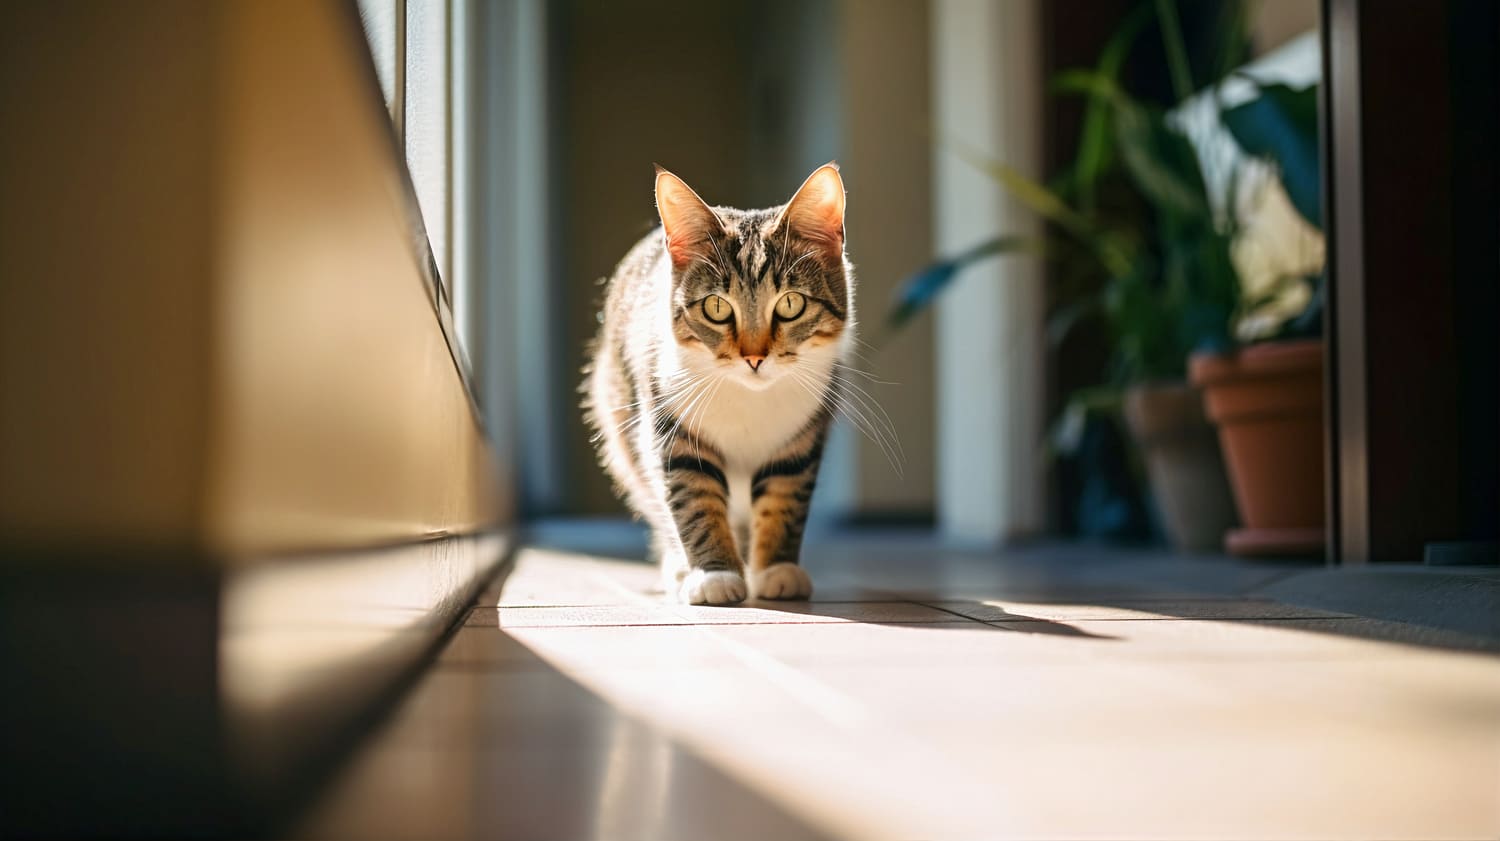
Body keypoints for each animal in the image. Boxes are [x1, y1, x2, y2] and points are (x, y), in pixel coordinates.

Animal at [582, 160, 852, 602]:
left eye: (791, 304)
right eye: (716, 307)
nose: (754, 358)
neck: (749, 398)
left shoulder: (802, 435)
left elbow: (785, 496)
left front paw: (777, 570)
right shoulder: (669, 421)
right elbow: (694, 497)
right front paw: (715, 576)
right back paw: (679, 568)